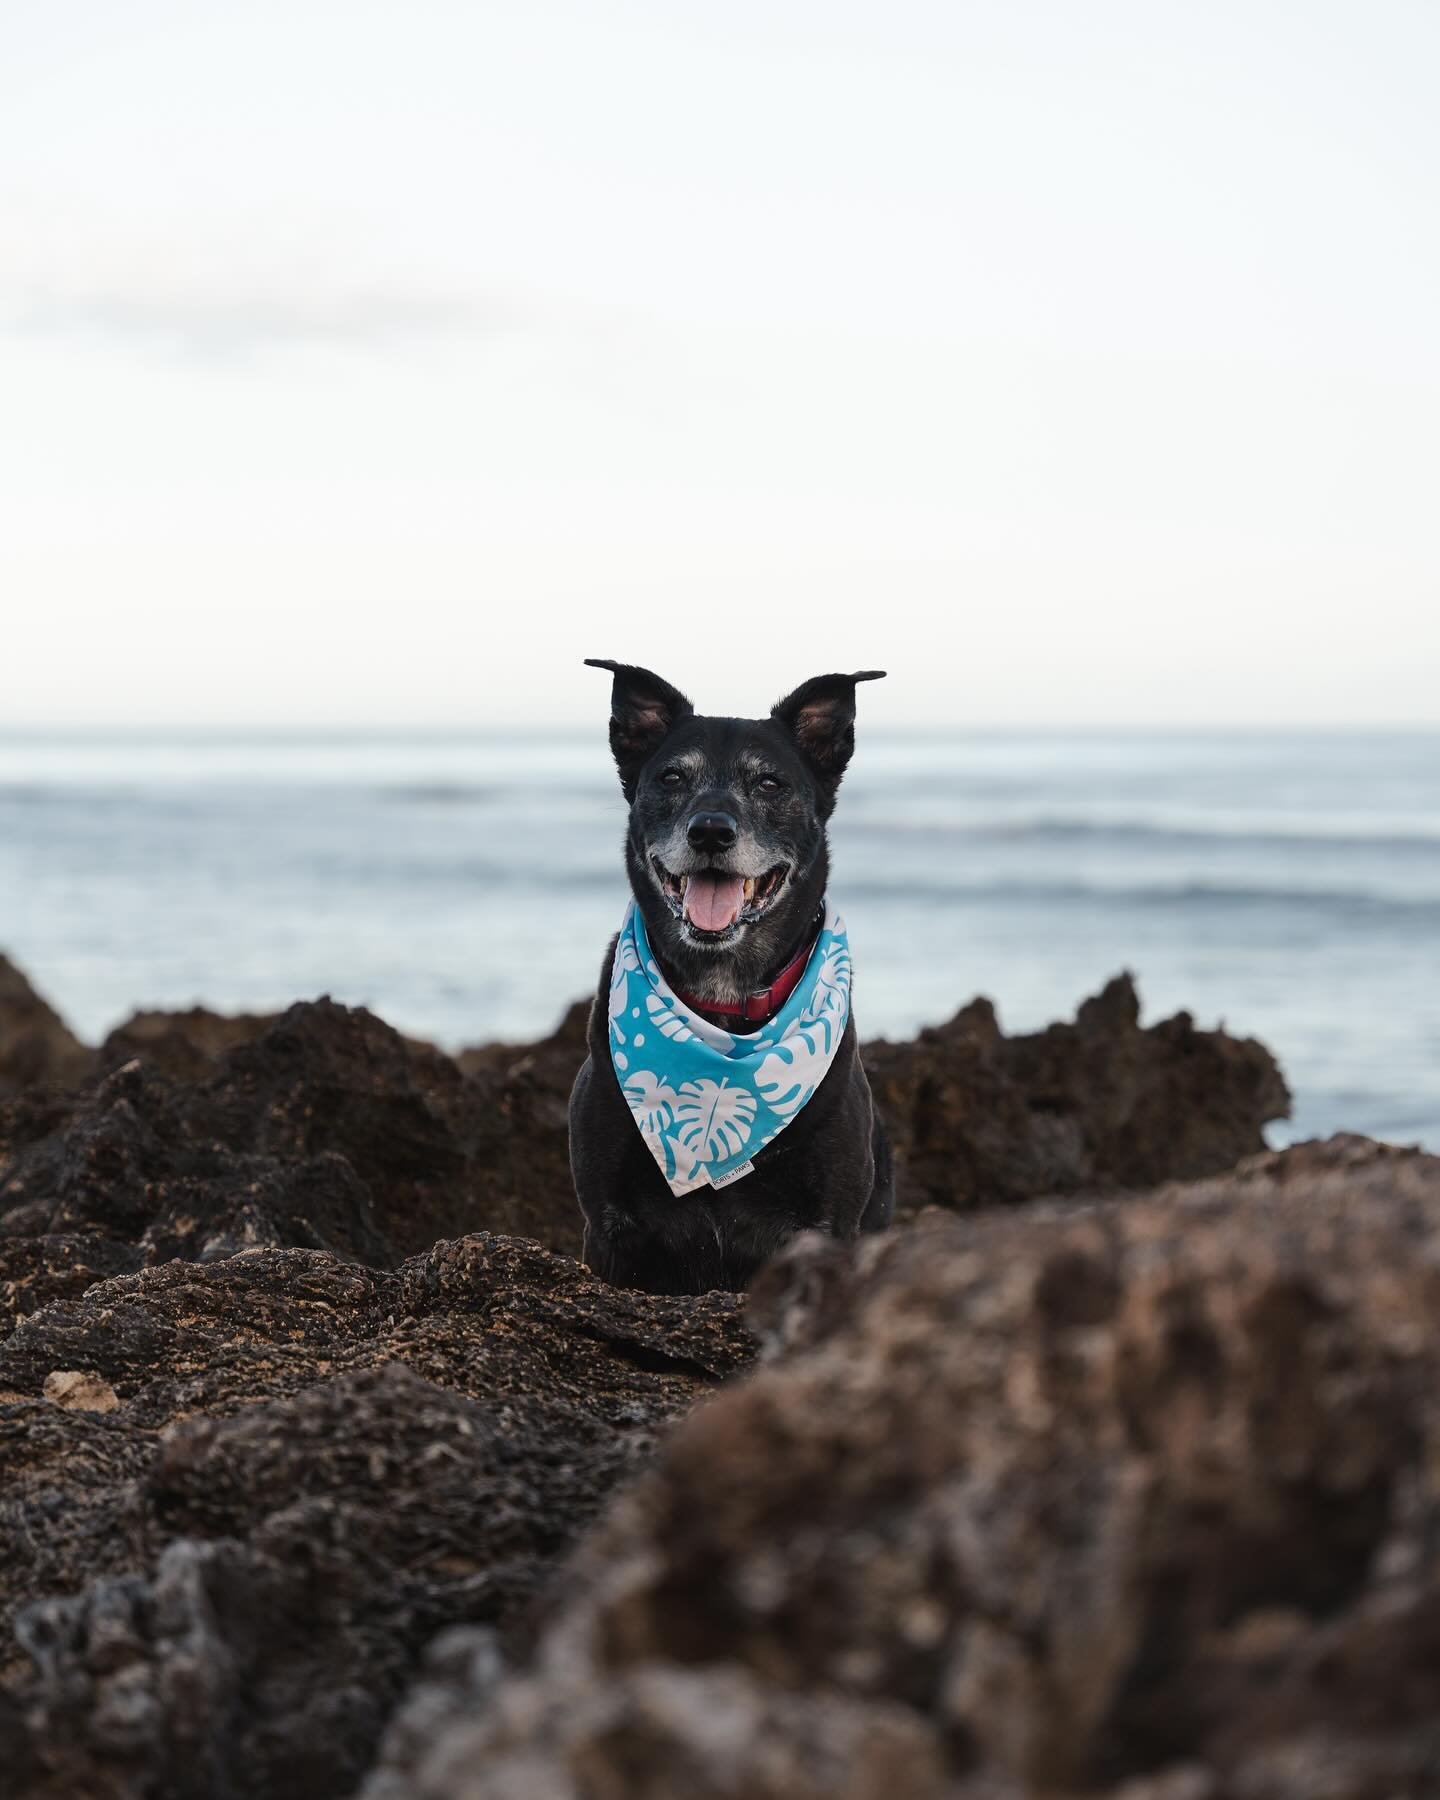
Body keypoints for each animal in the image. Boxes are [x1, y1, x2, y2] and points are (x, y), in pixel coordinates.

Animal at [565, 662, 889, 1296]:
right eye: (671, 777)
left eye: (769, 783)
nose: (710, 830)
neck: (724, 1006)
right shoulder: (608, 1229)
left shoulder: (829, 1223)